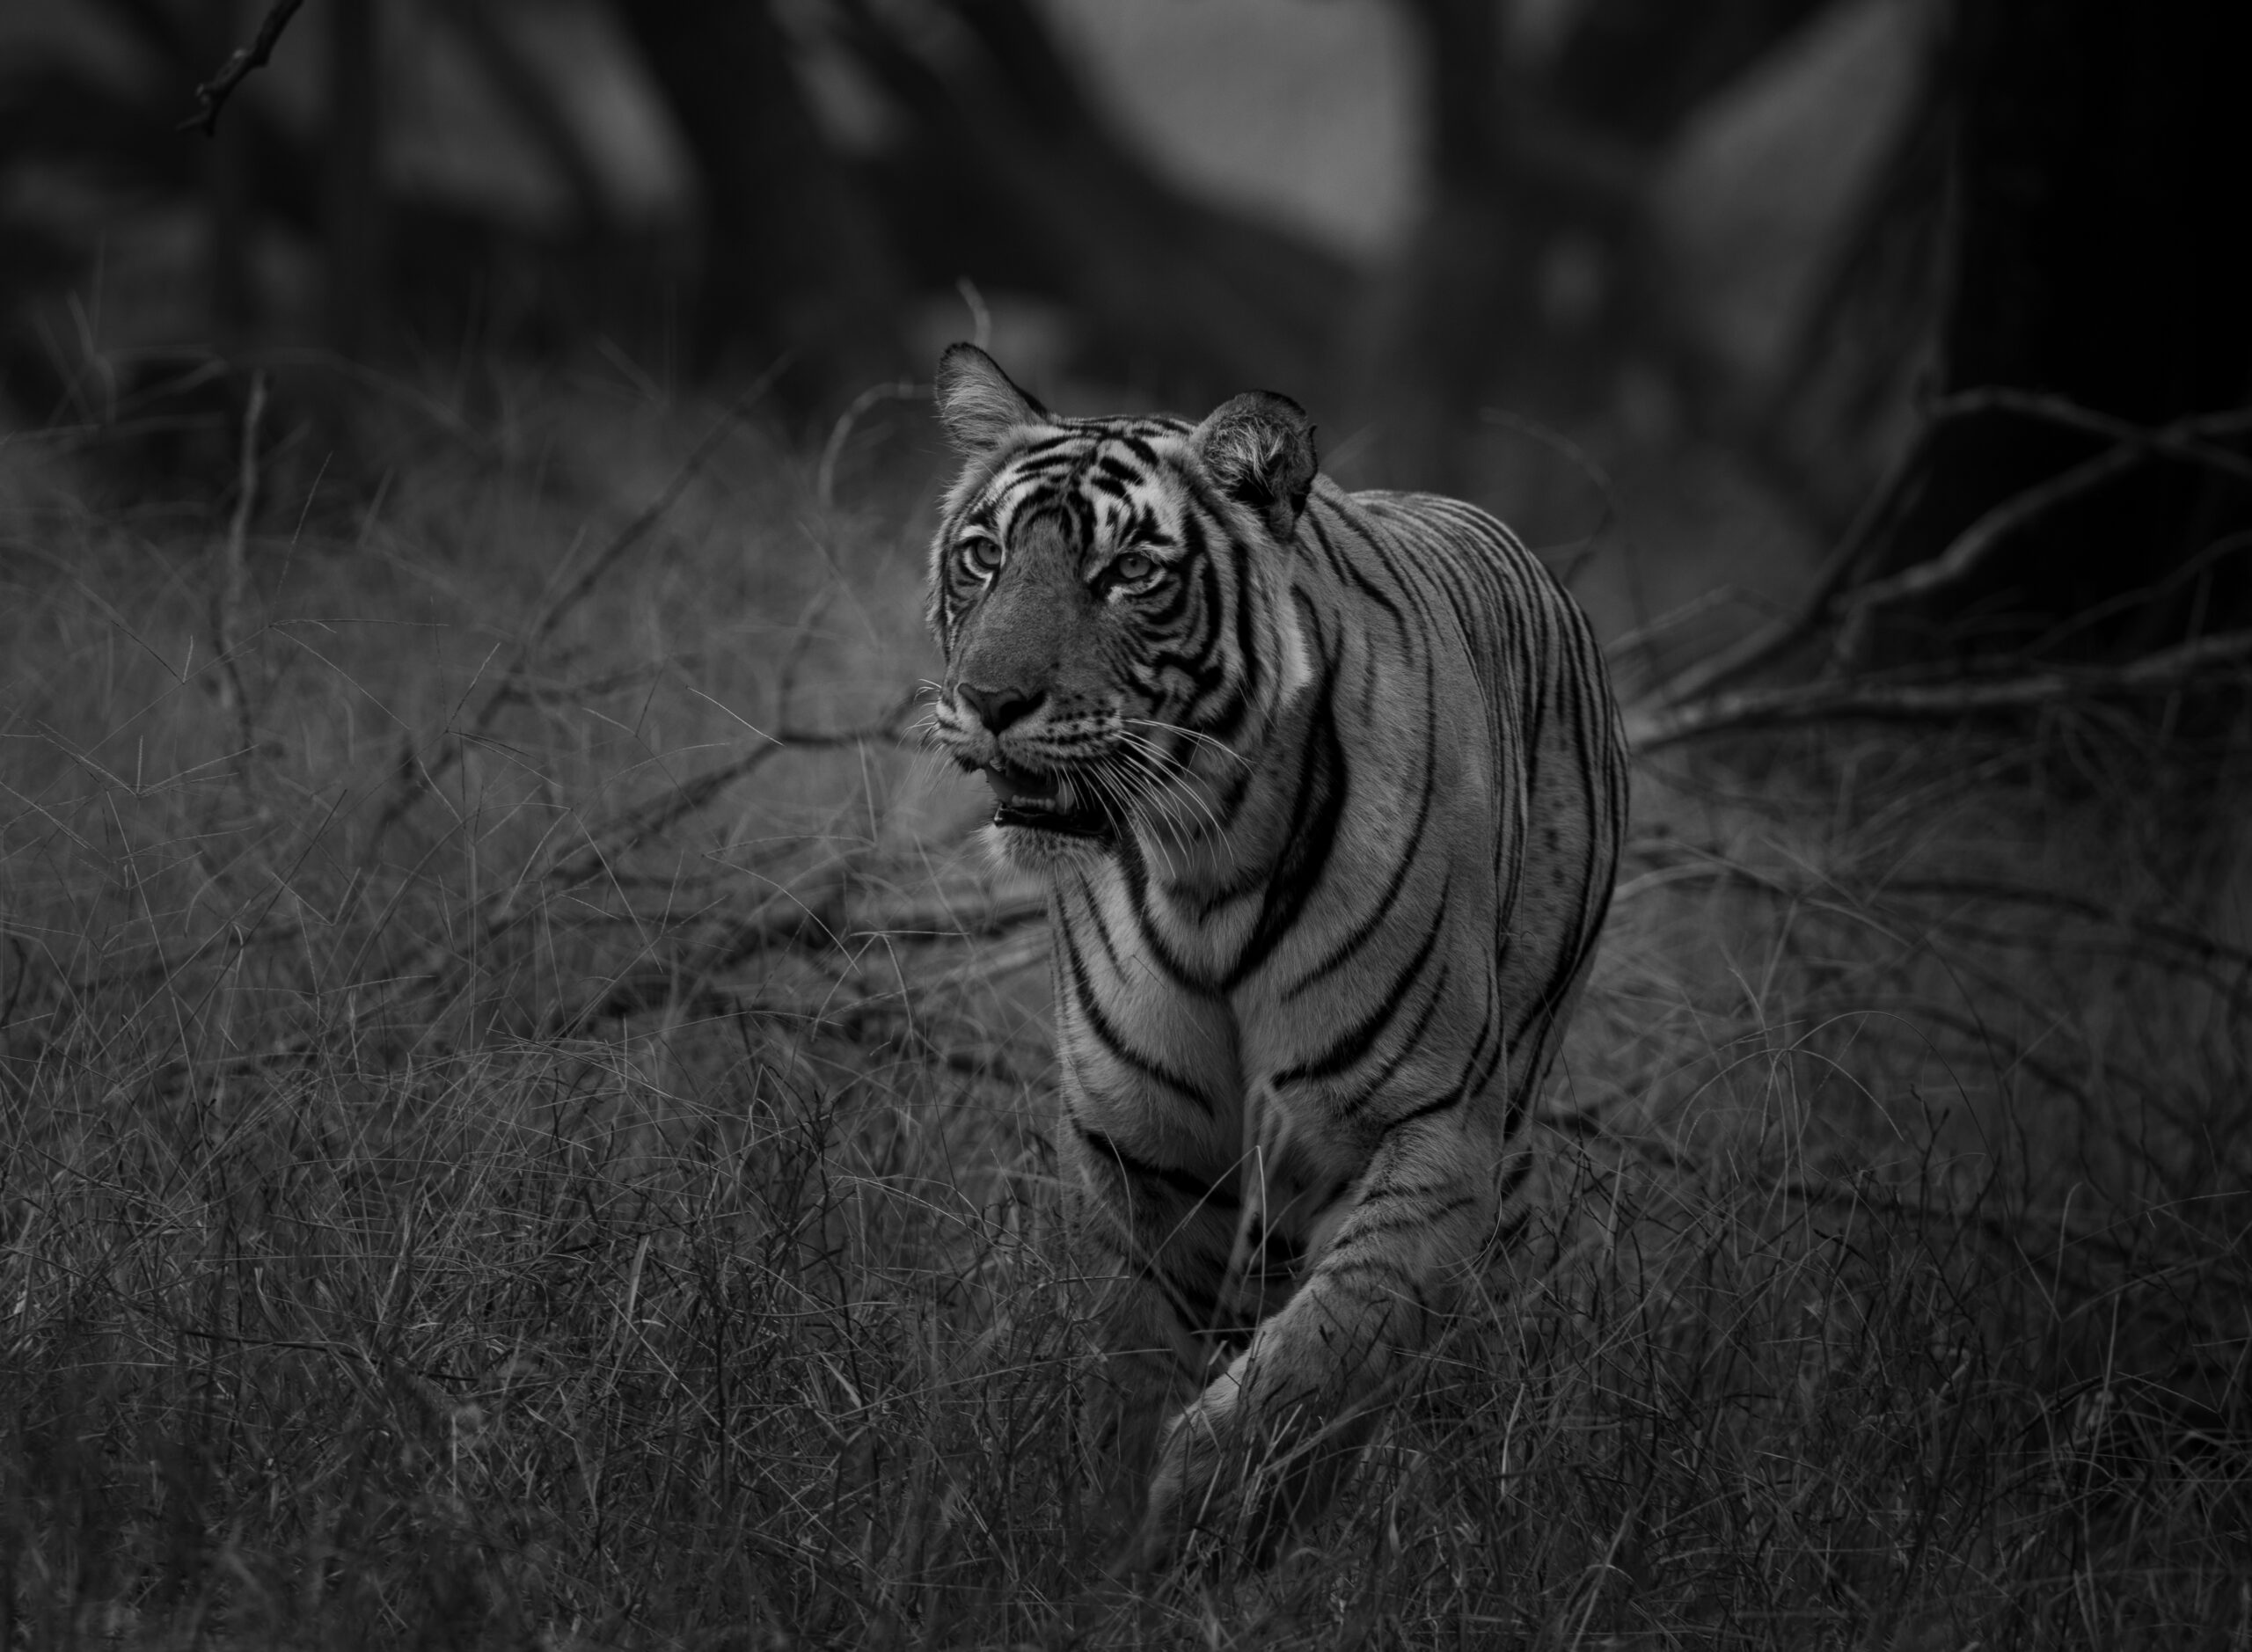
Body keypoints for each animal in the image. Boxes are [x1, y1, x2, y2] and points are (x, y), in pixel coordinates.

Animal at [923, 344, 1629, 1569]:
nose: (989, 701)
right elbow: (1137, 1366)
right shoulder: (1141, 1151)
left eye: (1126, 572)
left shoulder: (1430, 1131)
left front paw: (1204, 1515)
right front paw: (1118, 1538)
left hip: (1507, 1115)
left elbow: (1327, 1347)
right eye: (983, 556)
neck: (1202, 866)